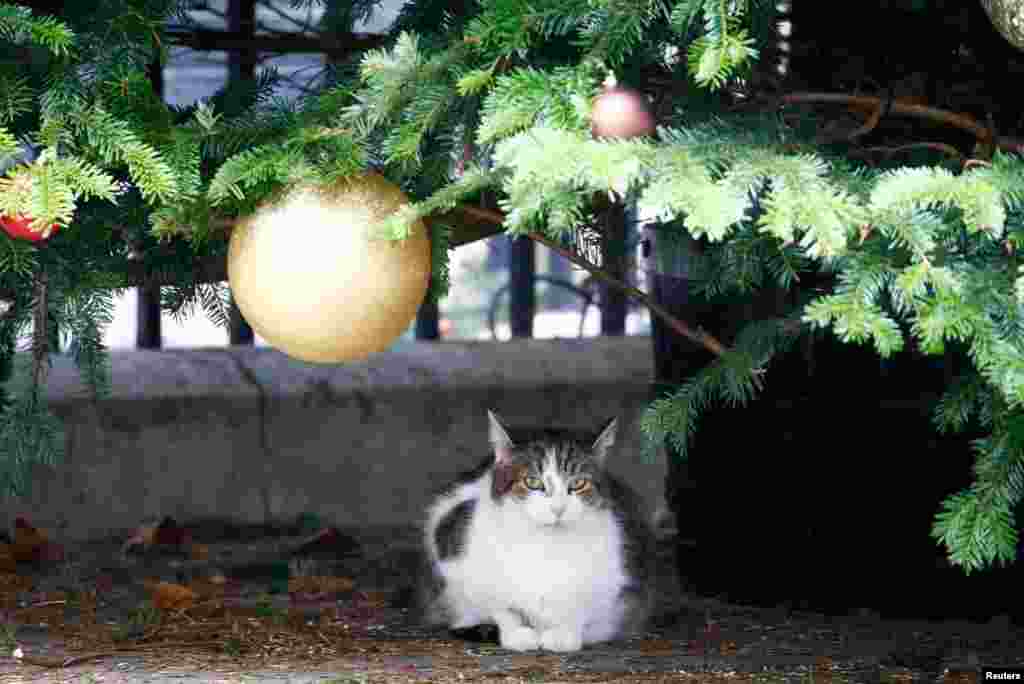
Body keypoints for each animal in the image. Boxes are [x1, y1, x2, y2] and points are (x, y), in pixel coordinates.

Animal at [417, 411, 651, 651]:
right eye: (532, 481)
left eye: (579, 483)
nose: (558, 508)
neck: (546, 544)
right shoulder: (459, 559)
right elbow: (501, 606)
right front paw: (517, 633)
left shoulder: (612, 576)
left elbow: (582, 605)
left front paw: (564, 634)